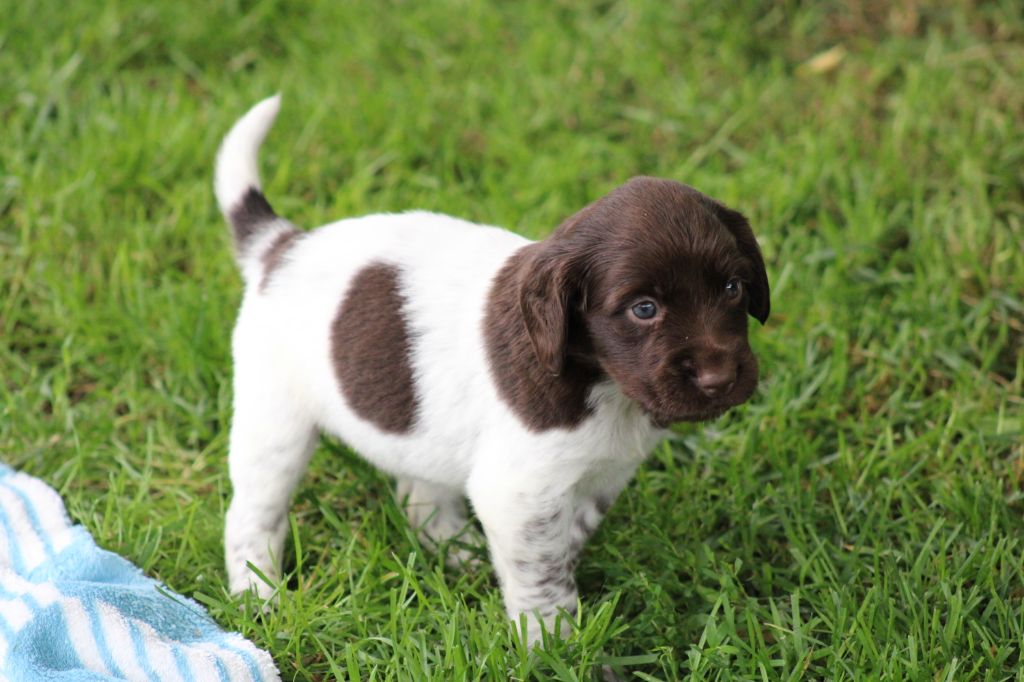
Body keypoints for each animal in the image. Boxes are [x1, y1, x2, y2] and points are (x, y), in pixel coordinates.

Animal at [216, 96, 770, 643]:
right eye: (644, 309)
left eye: (733, 288)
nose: (720, 380)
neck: (601, 384)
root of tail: (282, 246)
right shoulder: (520, 491)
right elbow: (541, 574)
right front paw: (553, 644)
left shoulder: (601, 475)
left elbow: (561, 545)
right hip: (275, 421)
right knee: (251, 516)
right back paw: (259, 597)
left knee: (419, 494)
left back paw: (456, 549)